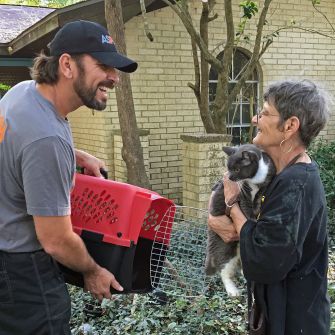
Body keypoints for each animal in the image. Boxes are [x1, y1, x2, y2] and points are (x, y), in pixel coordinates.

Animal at [206, 144, 276, 296]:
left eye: (237, 169)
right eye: (228, 168)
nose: (230, 177)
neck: (255, 178)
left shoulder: (268, 176)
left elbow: (260, 193)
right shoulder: (242, 194)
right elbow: (246, 208)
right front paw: (252, 220)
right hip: (225, 246)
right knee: (223, 269)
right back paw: (233, 290)